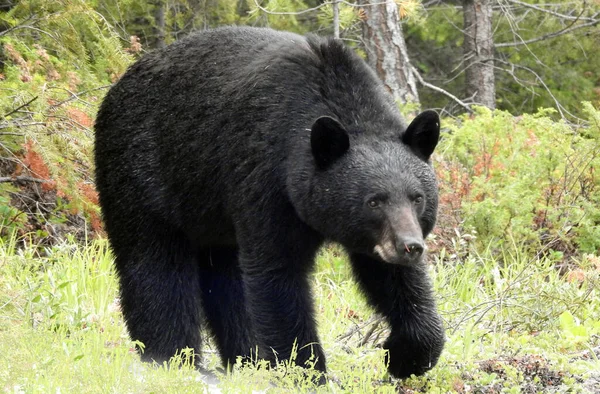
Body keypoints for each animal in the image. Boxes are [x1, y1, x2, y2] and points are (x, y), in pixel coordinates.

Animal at [95, 26, 446, 380]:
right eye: (374, 201)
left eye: (418, 198)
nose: (409, 246)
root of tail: (117, 86)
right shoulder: (266, 179)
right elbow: (277, 274)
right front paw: (305, 372)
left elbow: (396, 280)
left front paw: (404, 354)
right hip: (143, 174)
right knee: (156, 267)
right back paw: (174, 359)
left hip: (212, 215)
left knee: (226, 280)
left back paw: (245, 359)